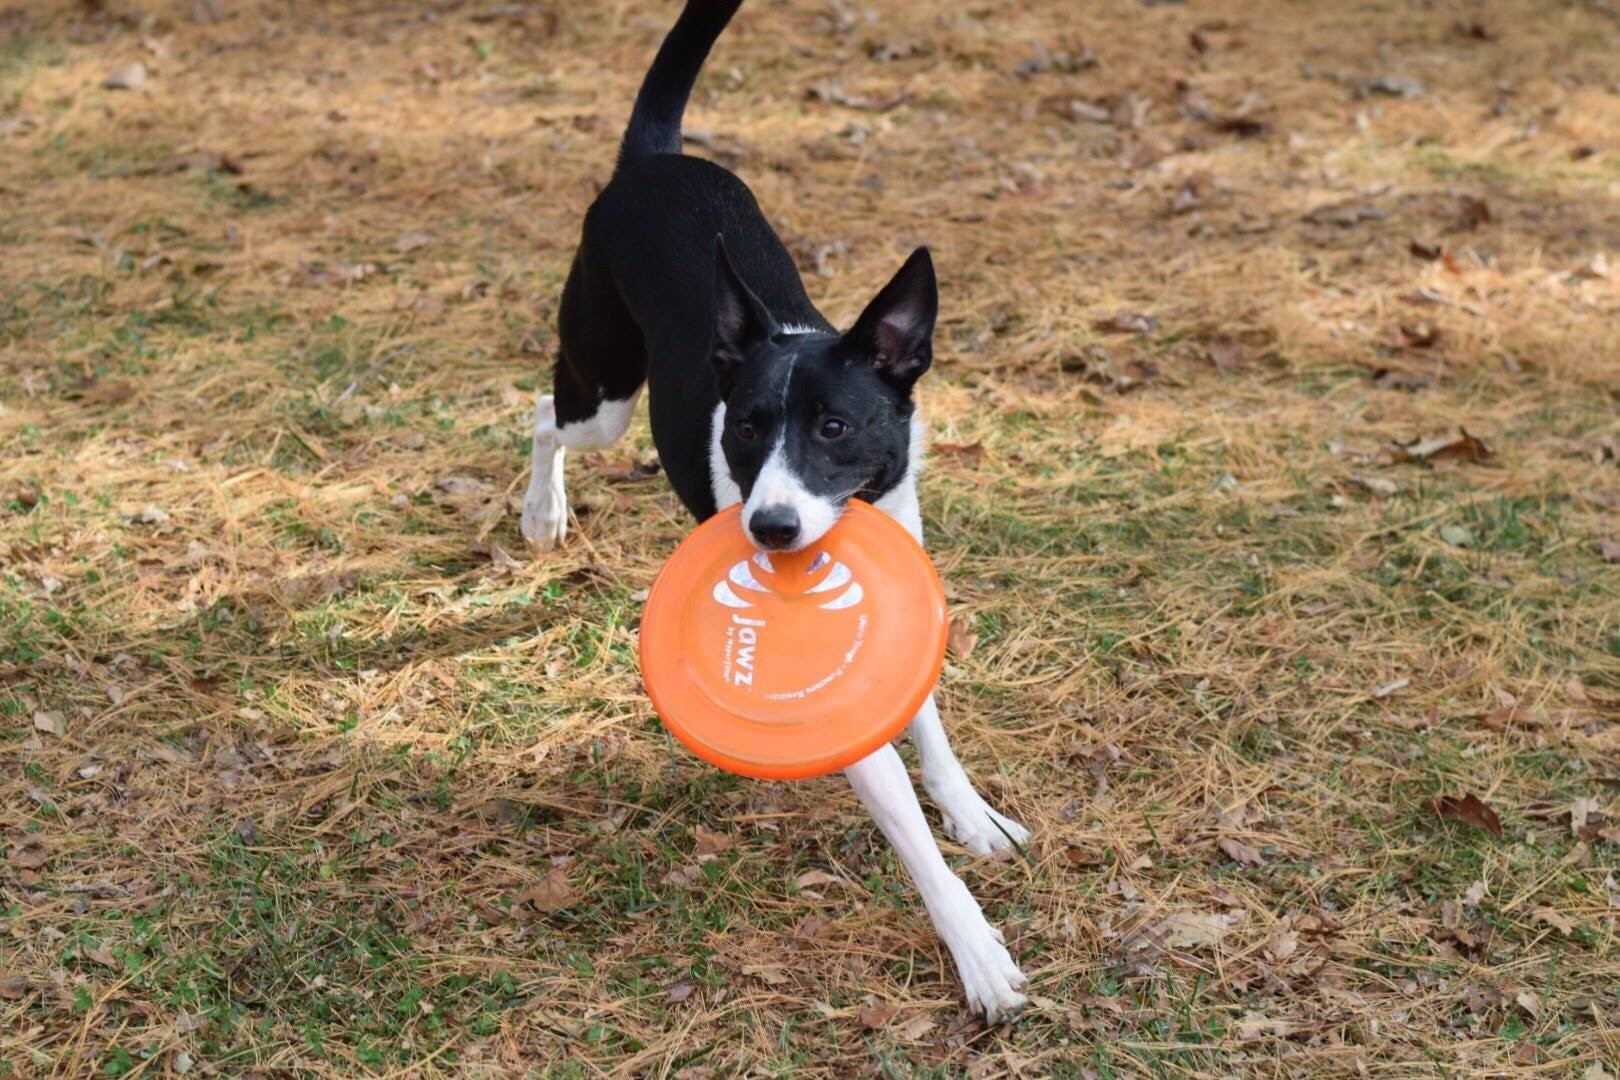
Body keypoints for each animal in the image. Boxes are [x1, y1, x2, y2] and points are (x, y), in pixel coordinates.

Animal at [515, 0, 1023, 1023]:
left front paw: (973, 812)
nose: (770, 531)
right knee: (543, 413)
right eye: (745, 428)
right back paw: (541, 513)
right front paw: (977, 953)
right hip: (605, 390)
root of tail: (655, 159)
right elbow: (911, 832)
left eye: (834, 426)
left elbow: (931, 731)